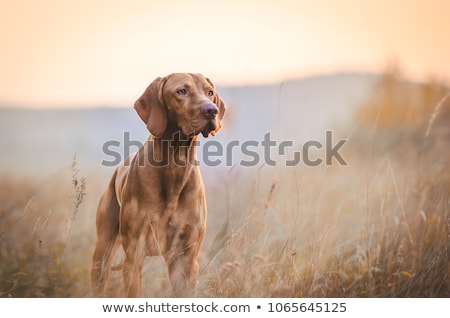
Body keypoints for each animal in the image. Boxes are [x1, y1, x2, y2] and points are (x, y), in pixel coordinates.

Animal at [90, 73, 225, 296]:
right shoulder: (134, 255)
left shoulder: (187, 261)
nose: (211, 110)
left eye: (210, 92)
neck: (175, 165)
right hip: (102, 253)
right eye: (182, 91)